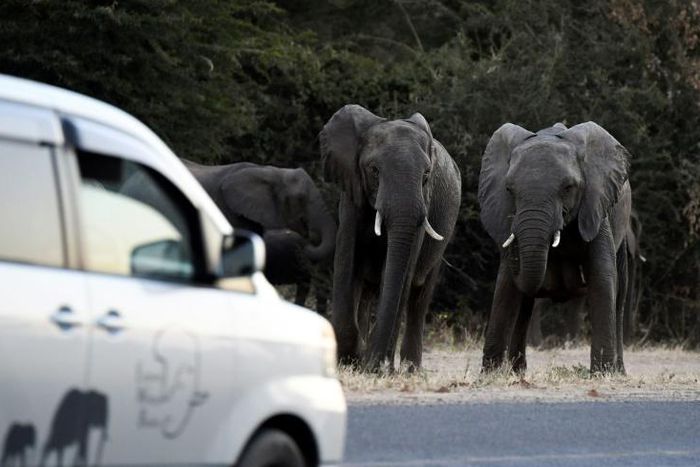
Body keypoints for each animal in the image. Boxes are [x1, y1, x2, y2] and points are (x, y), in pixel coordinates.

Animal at [320, 104, 462, 370]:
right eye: (374, 171)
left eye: (427, 175)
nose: (379, 364)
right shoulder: (351, 192)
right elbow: (346, 261)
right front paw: (350, 359)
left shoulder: (423, 204)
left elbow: (399, 274)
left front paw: (373, 366)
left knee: (418, 297)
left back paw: (409, 370)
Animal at [478, 122, 632, 374]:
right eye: (509, 189)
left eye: (568, 187)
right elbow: (506, 287)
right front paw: (489, 375)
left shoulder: (595, 208)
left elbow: (602, 277)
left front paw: (602, 374)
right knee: (524, 307)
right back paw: (518, 372)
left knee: (619, 297)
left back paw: (619, 372)